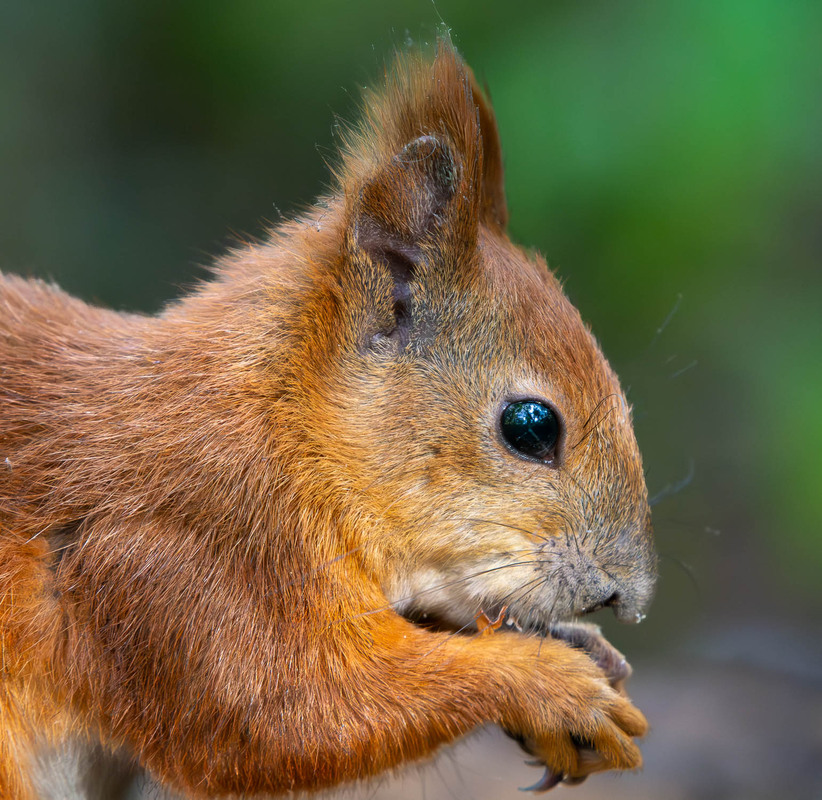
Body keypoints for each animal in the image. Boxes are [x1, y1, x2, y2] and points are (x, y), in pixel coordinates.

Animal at [0, 42, 656, 792]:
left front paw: (584, 649)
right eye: (531, 427)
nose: (628, 597)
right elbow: (289, 714)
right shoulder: (175, 560)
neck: (286, 432)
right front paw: (549, 685)